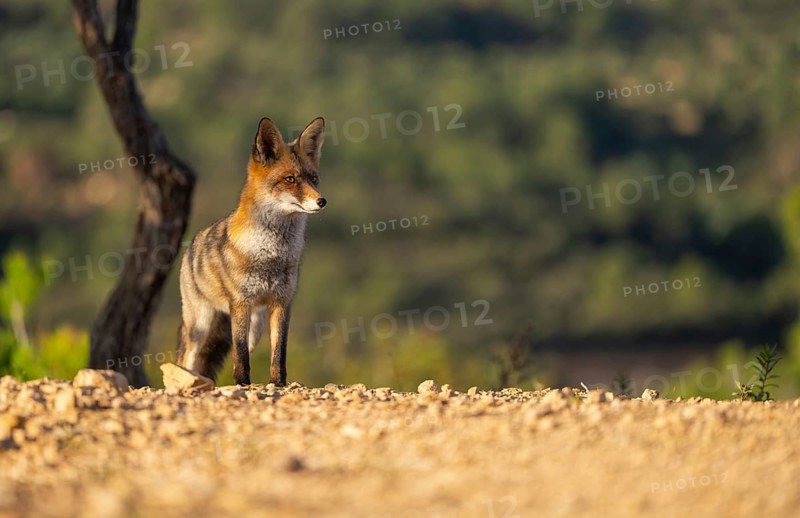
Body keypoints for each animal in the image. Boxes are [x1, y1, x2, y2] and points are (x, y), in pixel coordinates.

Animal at [176, 116, 326, 386]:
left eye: (313, 178)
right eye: (290, 179)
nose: (322, 201)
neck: (271, 255)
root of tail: (191, 245)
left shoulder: (282, 302)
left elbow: (278, 352)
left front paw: (278, 384)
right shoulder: (240, 303)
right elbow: (240, 355)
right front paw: (242, 384)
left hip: (254, 327)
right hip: (200, 324)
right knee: (187, 360)